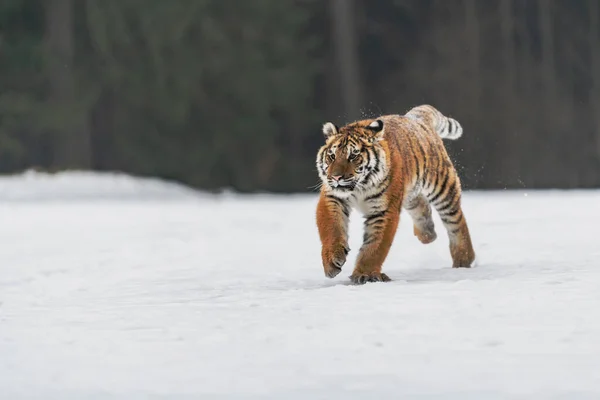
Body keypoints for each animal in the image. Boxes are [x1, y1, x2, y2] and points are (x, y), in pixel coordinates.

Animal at [316, 104, 476, 284]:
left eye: (353, 156)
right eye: (332, 156)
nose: (336, 177)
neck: (360, 187)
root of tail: (415, 118)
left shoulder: (383, 211)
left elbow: (375, 246)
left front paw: (365, 274)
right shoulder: (332, 198)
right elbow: (331, 229)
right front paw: (332, 261)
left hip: (442, 186)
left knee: (456, 221)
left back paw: (463, 259)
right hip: (411, 191)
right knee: (421, 205)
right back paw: (427, 234)